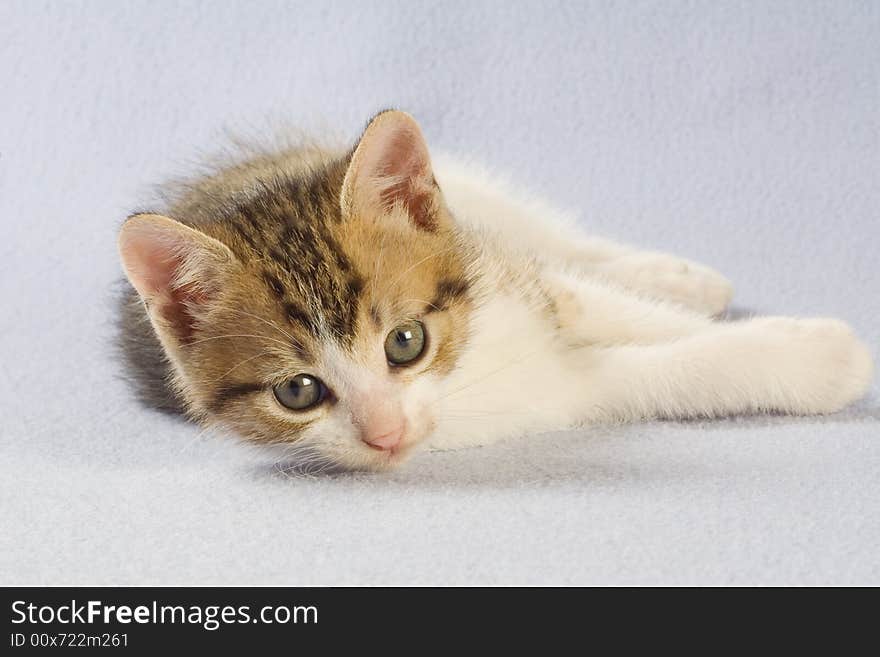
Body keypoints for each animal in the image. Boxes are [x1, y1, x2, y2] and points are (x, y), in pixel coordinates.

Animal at [117, 113, 872, 472]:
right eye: (298, 391)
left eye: (405, 341)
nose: (385, 435)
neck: (471, 359)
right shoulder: (562, 392)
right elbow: (670, 370)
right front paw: (824, 359)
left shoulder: (514, 278)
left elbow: (610, 307)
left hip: (470, 198)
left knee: (558, 244)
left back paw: (681, 277)